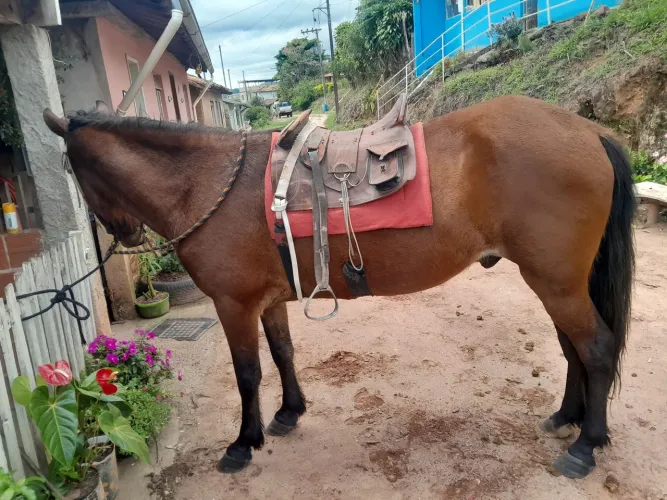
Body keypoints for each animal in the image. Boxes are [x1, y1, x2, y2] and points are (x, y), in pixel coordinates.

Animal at [43, 95, 635, 479]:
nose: (123, 233)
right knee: (573, 349)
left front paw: (243, 443)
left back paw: (586, 446)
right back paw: (567, 418)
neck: (207, 182)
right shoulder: (267, 301)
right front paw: (288, 414)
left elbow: (247, 374)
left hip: (556, 282)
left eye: (73, 171)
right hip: (557, 283)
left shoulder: (233, 305)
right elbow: (282, 353)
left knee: (596, 348)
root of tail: (589, 132)